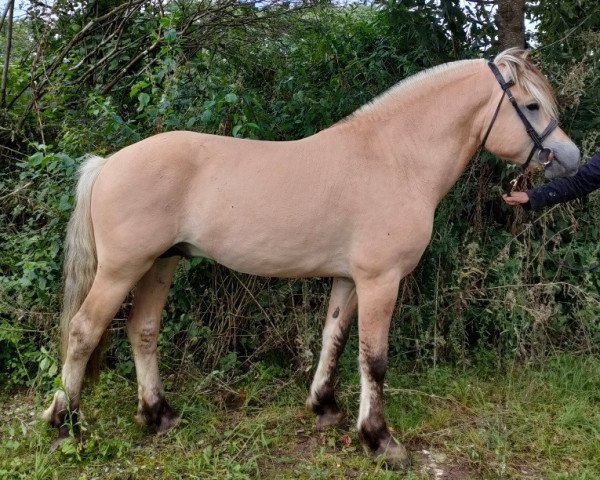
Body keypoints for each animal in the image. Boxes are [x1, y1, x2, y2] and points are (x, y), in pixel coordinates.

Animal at [43, 49, 580, 468]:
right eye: (531, 105)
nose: (571, 159)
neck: (394, 158)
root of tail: (108, 162)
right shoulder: (380, 280)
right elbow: (373, 359)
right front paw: (380, 441)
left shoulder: (349, 279)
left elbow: (334, 338)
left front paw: (324, 408)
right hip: (122, 269)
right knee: (84, 330)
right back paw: (65, 422)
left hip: (161, 264)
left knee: (143, 330)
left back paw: (158, 415)